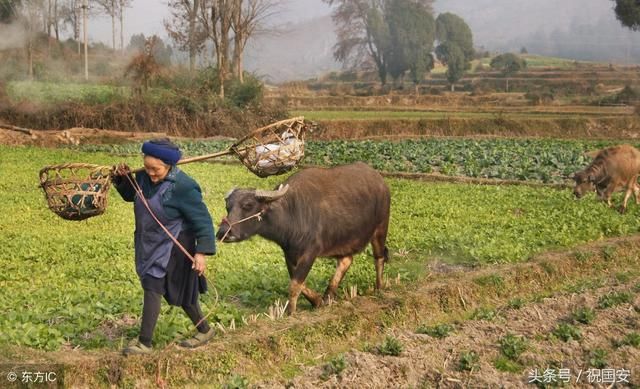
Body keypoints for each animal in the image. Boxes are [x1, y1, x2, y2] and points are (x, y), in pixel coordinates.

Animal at [215, 162, 390, 314]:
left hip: (381, 229)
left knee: (379, 258)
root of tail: (380, 180)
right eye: (228, 206)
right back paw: (328, 296)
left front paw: (290, 312)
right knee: (346, 261)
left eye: (248, 205)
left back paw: (379, 288)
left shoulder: (310, 252)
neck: (292, 214)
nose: (223, 233)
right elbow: (298, 281)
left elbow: (294, 284)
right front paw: (317, 301)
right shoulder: (289, 253)